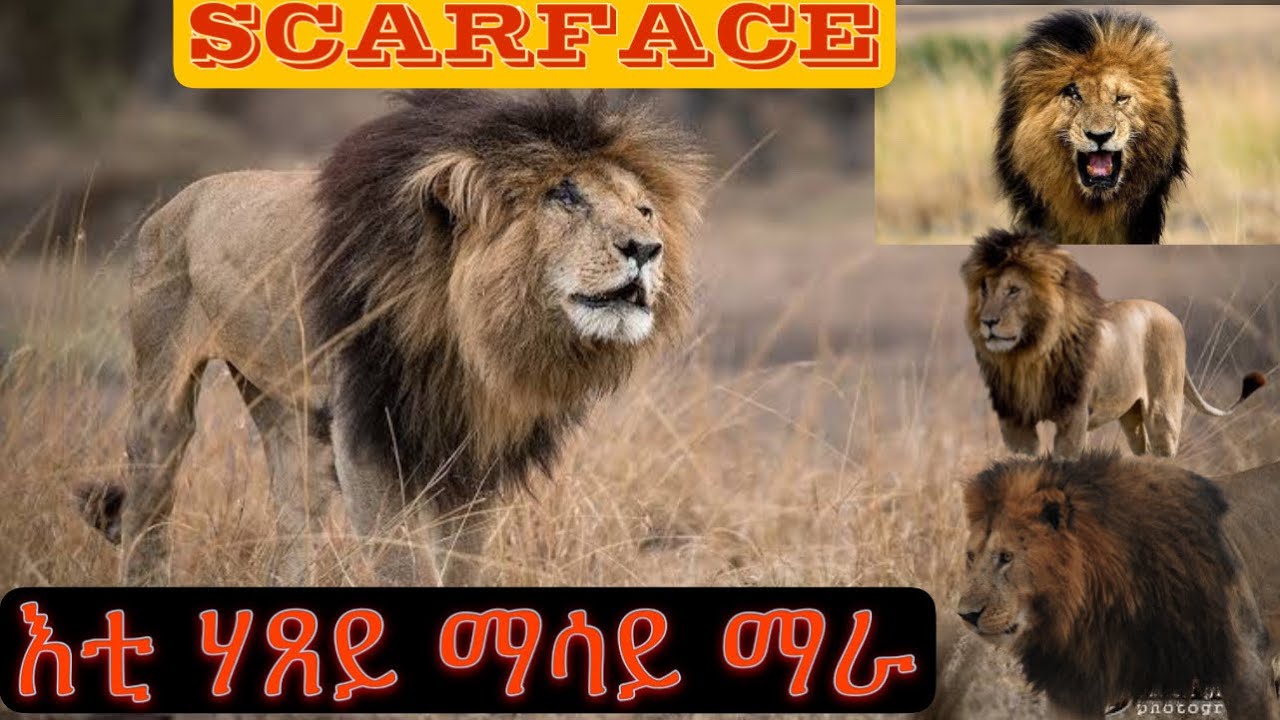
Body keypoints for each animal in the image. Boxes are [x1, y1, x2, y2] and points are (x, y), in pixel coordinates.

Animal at [77, 90, 707, 586]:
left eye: (644, 209)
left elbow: (462, 566)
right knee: (149, 512)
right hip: (161, 394)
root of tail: (175, 202)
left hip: (287, 411)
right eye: (565, 196)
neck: (465, 334)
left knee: (294, 514)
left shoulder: (470, 448)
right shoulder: (367, 432)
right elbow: (405, 566)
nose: (646, 248)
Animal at [962, 229, 1266, 459]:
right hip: (1131, 413)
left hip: (1162, 411)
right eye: (984, 289)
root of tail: (1170, 315)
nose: (988, 321)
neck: (1029, 355)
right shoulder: (1014, 420)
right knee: (1141, 449)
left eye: (1014, 290)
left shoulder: (1074, 418)